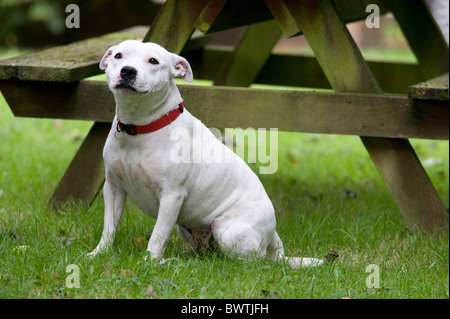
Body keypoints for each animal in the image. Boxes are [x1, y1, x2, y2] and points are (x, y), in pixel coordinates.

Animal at [88, 40, 322, 270]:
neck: (139, 127)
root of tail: (274, 234)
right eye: (118, 56)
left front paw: (149, 262)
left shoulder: (171, 195)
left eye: (153, 61)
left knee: (255, 262)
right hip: (187, 230)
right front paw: (100, 253)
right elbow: (109, 226)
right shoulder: (113, 188)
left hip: (226, 229)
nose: (128, 70)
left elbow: (158, 234)